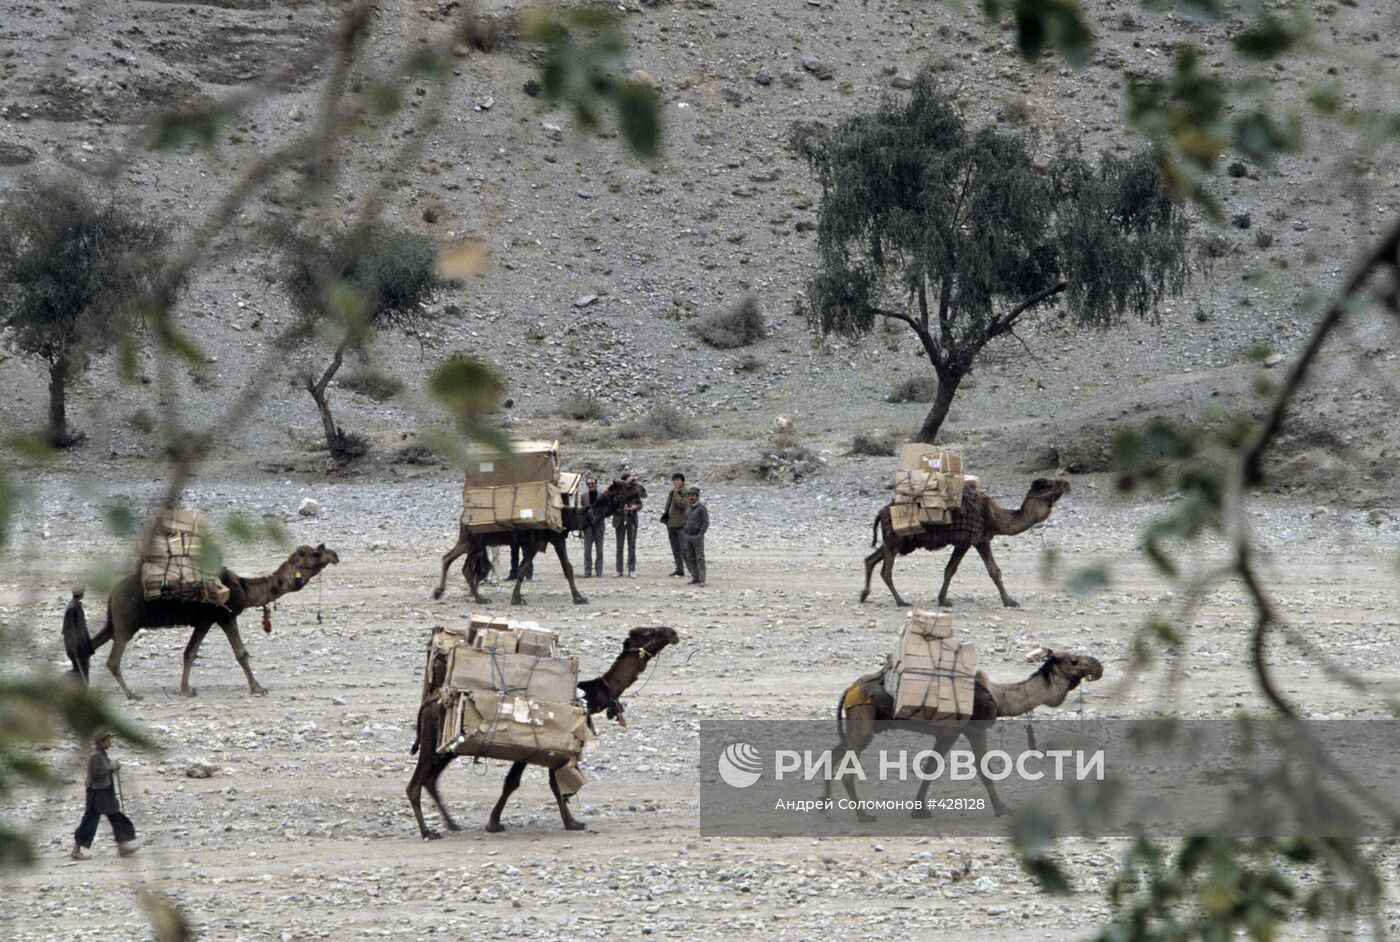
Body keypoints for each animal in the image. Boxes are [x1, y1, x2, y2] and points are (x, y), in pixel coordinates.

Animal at [66, 543, 340, 697]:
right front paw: (258, 688)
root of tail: (113, 593)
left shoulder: (203, 621)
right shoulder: (224, 616)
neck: (243, 588)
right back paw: (131, 694)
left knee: (90, 647)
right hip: (126, 621)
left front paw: (186, 689)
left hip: (113, 621)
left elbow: (189, 653)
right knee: (112, 660)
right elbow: (241, 653)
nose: (335, 554)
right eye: (316, 554)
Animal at [406, 624, 677, 839]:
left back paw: (452, 824)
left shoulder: (555, 748)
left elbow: (553, 783)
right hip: (432, 741)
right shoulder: (533, 747)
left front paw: (571, 821)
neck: (587, 698)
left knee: (431, 779)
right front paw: (494, 823)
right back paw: (428, 832)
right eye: (649, 632)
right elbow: (514, 783)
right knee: (416, 784)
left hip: (447, 748)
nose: (672, 632)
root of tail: (430, 700)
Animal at [431, 478, 641, 601]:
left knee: (464, 567)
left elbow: (564, 568)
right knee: (449, 558)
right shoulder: (543, 541)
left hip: (476, 543)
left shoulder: (551, 540)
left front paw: (578, 597)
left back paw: (472, 596)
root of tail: (463, 516)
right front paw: (517, 598)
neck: (565, 516)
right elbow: (527, 568)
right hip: (470, 540)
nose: (643, 490)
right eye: (627, 486)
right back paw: (451, 593)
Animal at [817, 643, 1103, 817]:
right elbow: (983, 770)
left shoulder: (947, 733)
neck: (998, 697)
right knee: (847, 769)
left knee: (831, 755)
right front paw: (1002, 809)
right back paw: (863, 815)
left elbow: (930, 768)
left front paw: (920, 809)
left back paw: (824, 807)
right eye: (1074, 660)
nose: (1098, 666)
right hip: (863, 720)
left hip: (859, 724)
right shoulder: (967, 730)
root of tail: (849, 689)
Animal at [856, 478, 1064, 610]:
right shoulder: (975, 539)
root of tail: (881, 512)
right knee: (885, 571)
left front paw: (942, 600)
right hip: (895, 540)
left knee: (870, 559)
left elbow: (953, 570)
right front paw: (1010, 601)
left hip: (896, 541)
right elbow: (990, 571)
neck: (994, 517)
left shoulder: (972, 540)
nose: (1067, 484)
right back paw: (901, 601)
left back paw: (864, 595)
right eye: (1049, 484)